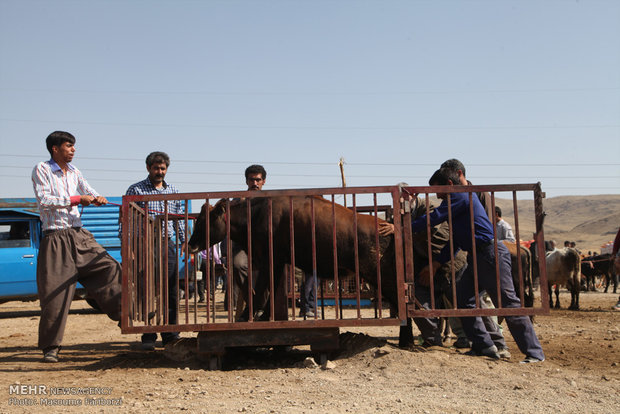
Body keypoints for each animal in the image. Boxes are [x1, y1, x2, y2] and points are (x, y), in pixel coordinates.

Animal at [188, 197, 398, 320]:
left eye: (203, 222)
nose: (190, 245)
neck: (256, 215)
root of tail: (387, 227)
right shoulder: (277, 262)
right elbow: (269, 290)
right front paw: (265, 315)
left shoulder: (270, 260)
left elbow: (262, 289)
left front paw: (248, 315)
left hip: (378, 273)